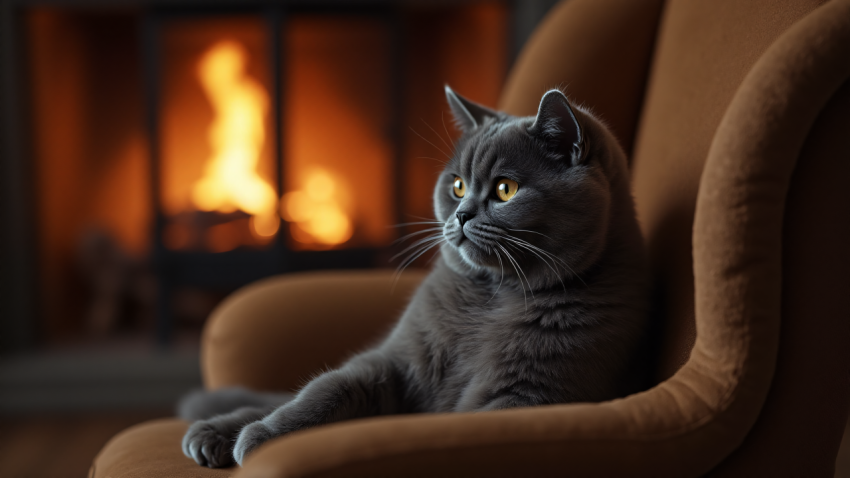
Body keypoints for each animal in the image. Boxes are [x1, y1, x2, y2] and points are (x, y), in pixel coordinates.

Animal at [181, 86, 648, 466]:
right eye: (457, 186)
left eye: (505, 189)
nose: (461, 215)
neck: (493, 296)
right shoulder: (395, 361)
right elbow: (328, 389)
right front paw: (263, 434)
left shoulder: (529, 396)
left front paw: (256, 439)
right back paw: (213, 431)